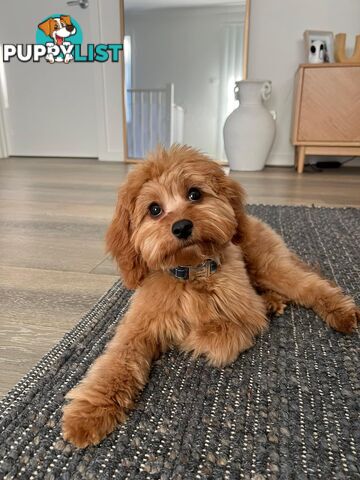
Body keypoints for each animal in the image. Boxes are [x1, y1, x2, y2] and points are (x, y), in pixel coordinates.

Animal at [62, 144, 358, 448]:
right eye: (154, 209)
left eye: (194, 193)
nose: (181, 226)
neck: (192, 272)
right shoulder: (136, 328)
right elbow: (114, 364)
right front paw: (89, 413)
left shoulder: (244, 314)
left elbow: (214, 333)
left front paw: (187, 335)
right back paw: (273, 301)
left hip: (268, 264)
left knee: (309, 286)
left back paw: (341, 312)